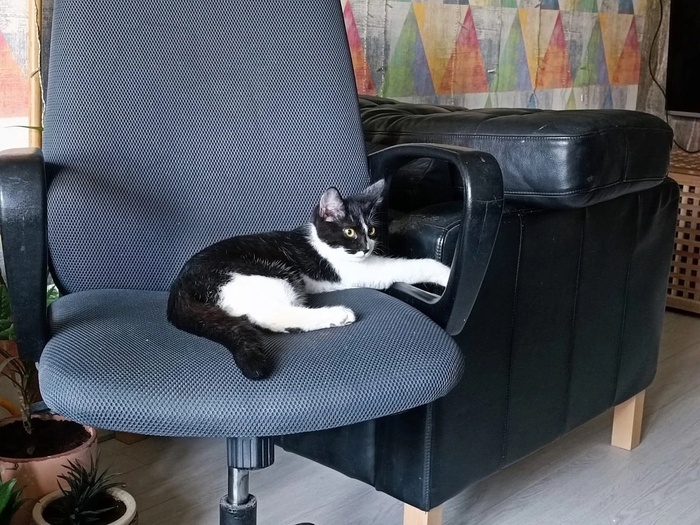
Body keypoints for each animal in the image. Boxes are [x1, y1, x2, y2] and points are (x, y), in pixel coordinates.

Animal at [167, 179, 451, 380]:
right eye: (349, 231)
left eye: (371, 230)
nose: (365, 248)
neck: (320, 241)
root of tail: (179, 284)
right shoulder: (361, 270)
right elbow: (408, 266)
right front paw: (446, 273)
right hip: (262, 273)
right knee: (268, 314)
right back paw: (337, 314)